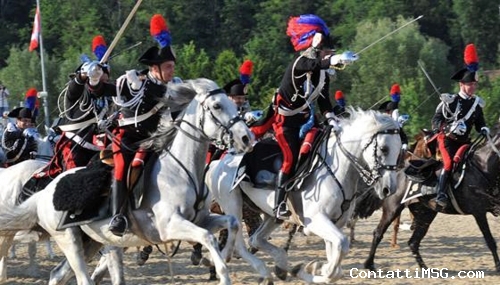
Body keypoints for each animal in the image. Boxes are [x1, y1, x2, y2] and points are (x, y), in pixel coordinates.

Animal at [0, 77, 254, 284]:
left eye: (233, 104)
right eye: (217, 106)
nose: (246, 138)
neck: (179, 170)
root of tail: (44, 192)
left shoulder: (201, 219)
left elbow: (231, 222)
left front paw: (222, 257)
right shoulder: (170, 226)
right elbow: (207, 236)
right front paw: (221, 272)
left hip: (90, 241)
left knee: (57, 275)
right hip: (69, 241)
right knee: (81, 278)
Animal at [206, 107, 402, 282]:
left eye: (400, 148)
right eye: (384, 149)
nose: (389, 189)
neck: (338, 169)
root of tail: (221, 161)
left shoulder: (335, 223)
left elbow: (336, 265)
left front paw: (312, 269)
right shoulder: (315, 221)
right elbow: (341, 247)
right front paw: (312, 270)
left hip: (271, 215)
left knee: (256, 239)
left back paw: (280, 265)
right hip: (233, 205)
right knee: (240, 244)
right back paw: (259, 270)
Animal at [362, 126, 500, 270]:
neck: (482, 167)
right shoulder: (479, 212)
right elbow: (490, 241)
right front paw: (498, 266)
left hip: (426, 214)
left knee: (413, 242)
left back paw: (424, 268)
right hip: (392, 210)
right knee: (378, 233)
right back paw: (369, 264)